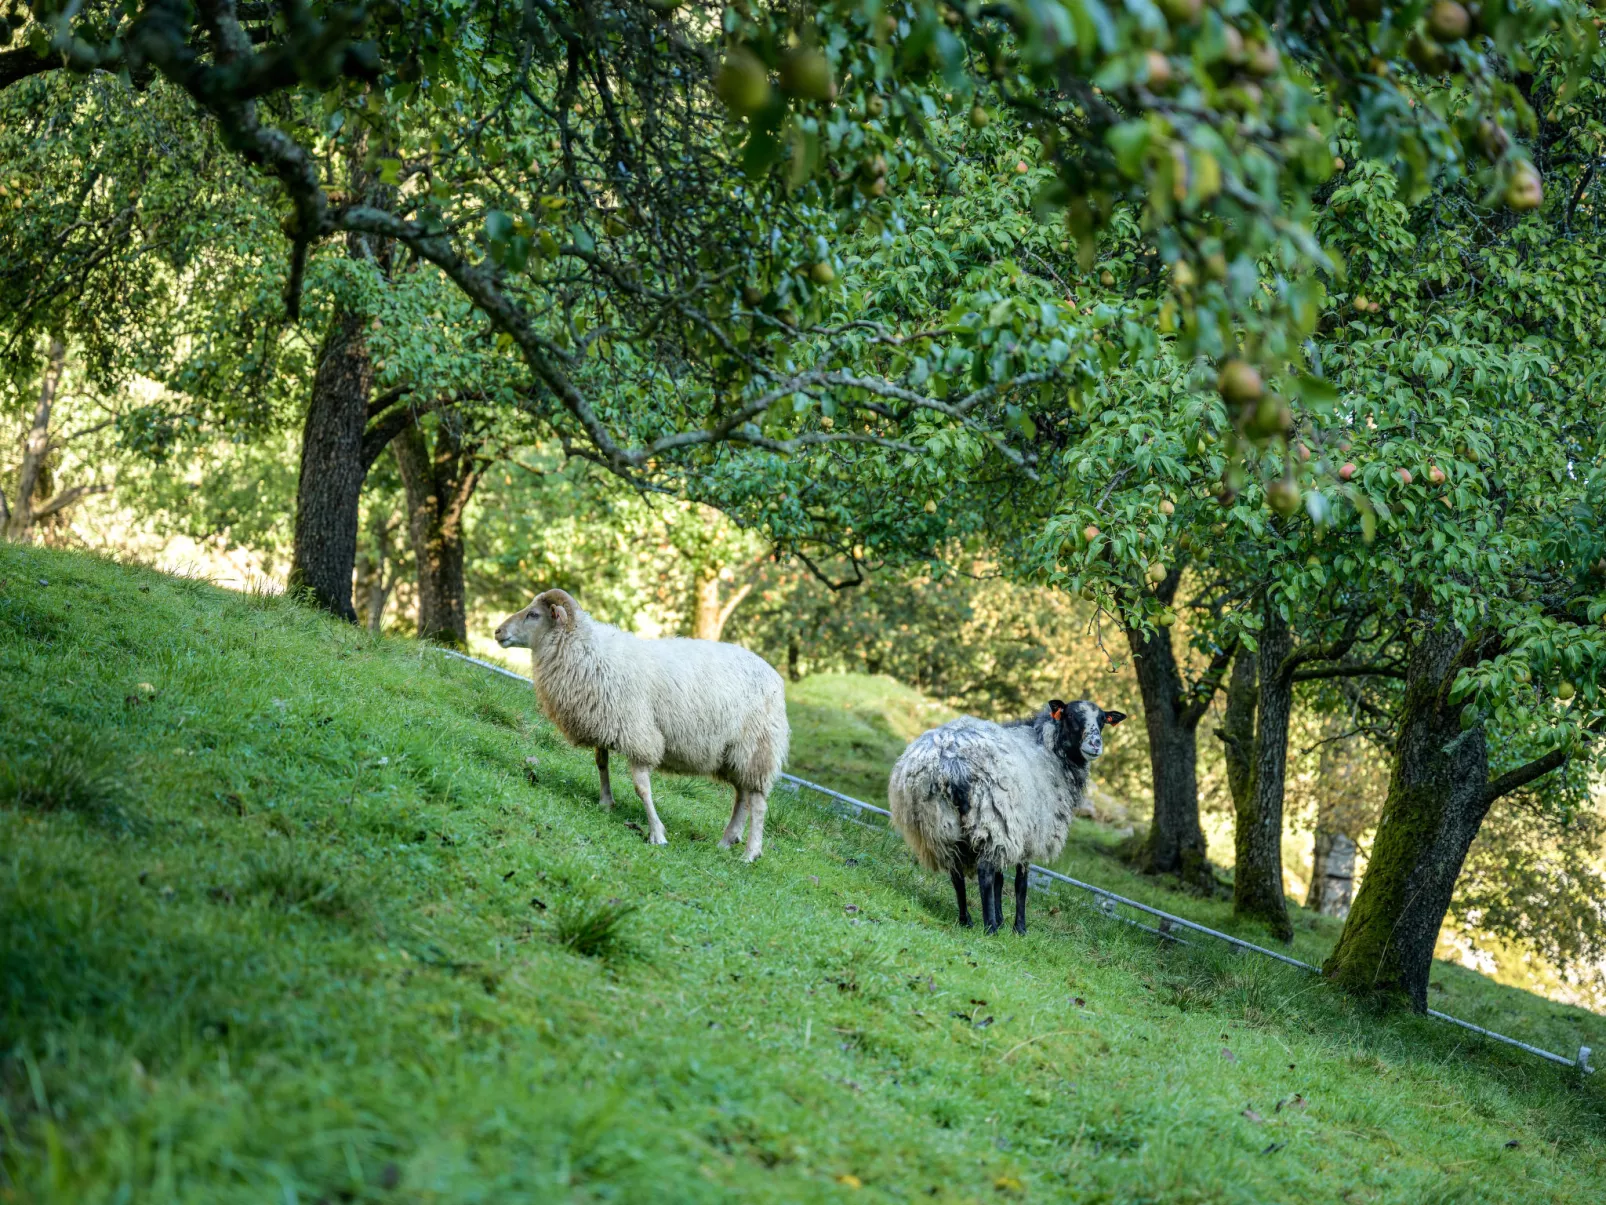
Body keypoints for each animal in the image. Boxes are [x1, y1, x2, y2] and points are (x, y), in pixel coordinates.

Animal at [491, 591, 786, 861]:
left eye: (533, 615)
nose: (497, 631)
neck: (587, 651)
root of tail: (775, 676)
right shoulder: (604, 721)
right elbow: (601, 763)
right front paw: (606, 802)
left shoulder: (638, 732)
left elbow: (642, 787)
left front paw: (657, 833)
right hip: (735, 754)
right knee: (742, 796)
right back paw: (727, 840)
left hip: (758, 748)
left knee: (758, 802)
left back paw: (750, 853)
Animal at [892, 703, 1130, 938]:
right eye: (1071, 716)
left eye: (1102, 720)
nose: (1095, 744)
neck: (1051, 749)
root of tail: (948, 762)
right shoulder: (1026, 832)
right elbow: (1020, 883)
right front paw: (1019, 928)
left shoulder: (1010, 831)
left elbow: (1000, 879)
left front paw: (1001, 918)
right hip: (990, 816)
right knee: (984, 872)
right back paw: (990, 928)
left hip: (940, 825)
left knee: (956, 872)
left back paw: (966, 920)